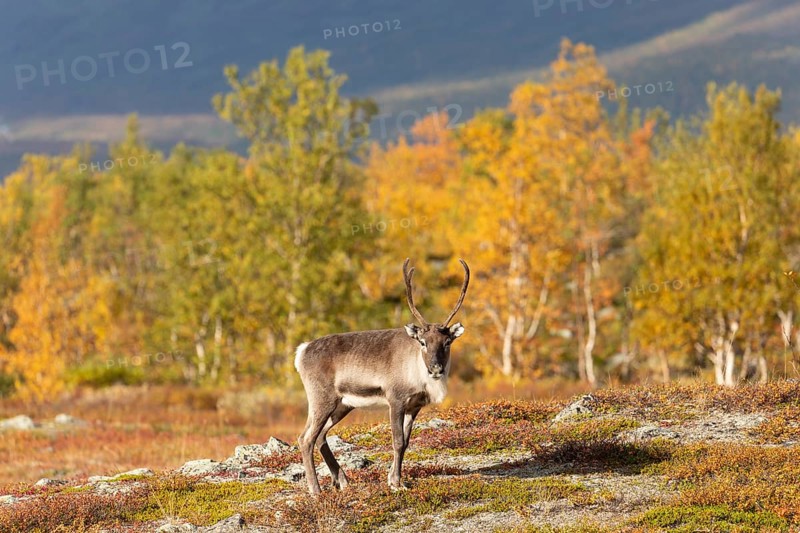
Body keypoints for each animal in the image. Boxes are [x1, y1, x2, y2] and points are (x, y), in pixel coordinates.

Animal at [294, 258, 470, 494]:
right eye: (423, 342)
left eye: (447, 342)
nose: (435, 368)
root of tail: (301, 351)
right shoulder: (395, 400)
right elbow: (397, 441)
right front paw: (396, 483)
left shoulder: (414, 406)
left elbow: (405, 443)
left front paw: (394, 479)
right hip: (322, 399)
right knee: (306, 438)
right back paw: (316, 491)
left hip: (342, 405)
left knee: (320, 436)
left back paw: (342, 481)